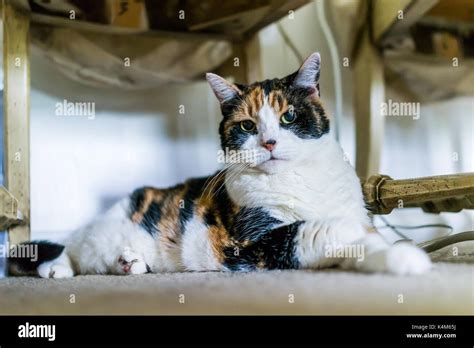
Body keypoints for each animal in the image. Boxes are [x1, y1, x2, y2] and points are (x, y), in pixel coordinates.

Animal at [8, 52, 430, 280]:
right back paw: (58, 269)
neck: (299, 182)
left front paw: (397, 255)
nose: (269, 142)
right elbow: (322, 229)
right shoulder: (252, 243)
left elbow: (362, 240)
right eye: (247, 126)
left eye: (289, 116)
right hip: (99, 236)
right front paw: (392, 247)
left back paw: (131, 263)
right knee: (71, 248)